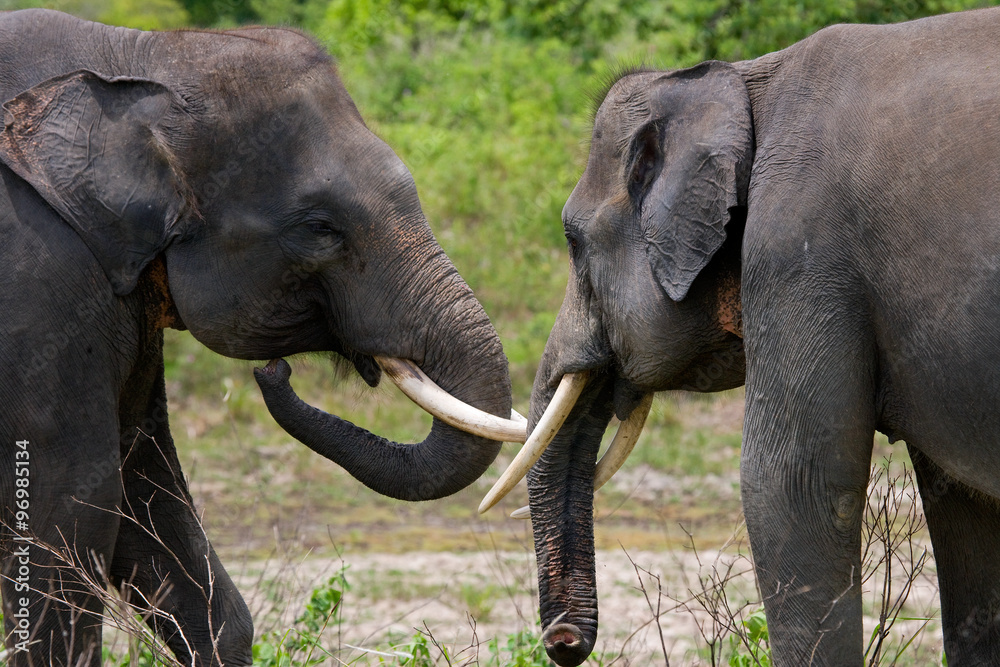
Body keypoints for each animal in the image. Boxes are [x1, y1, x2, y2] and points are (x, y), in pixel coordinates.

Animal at [0, 9, 523, 667]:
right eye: (320, 229)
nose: (275, 372)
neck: (140, 59)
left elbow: (146, 484)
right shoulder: (38, 284)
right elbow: (73, 508)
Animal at [479, 7, 1000, 667]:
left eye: (572, 240)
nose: (564, 641)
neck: (743, 80)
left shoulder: (799, 256)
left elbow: (789, 487)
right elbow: (964, 505)